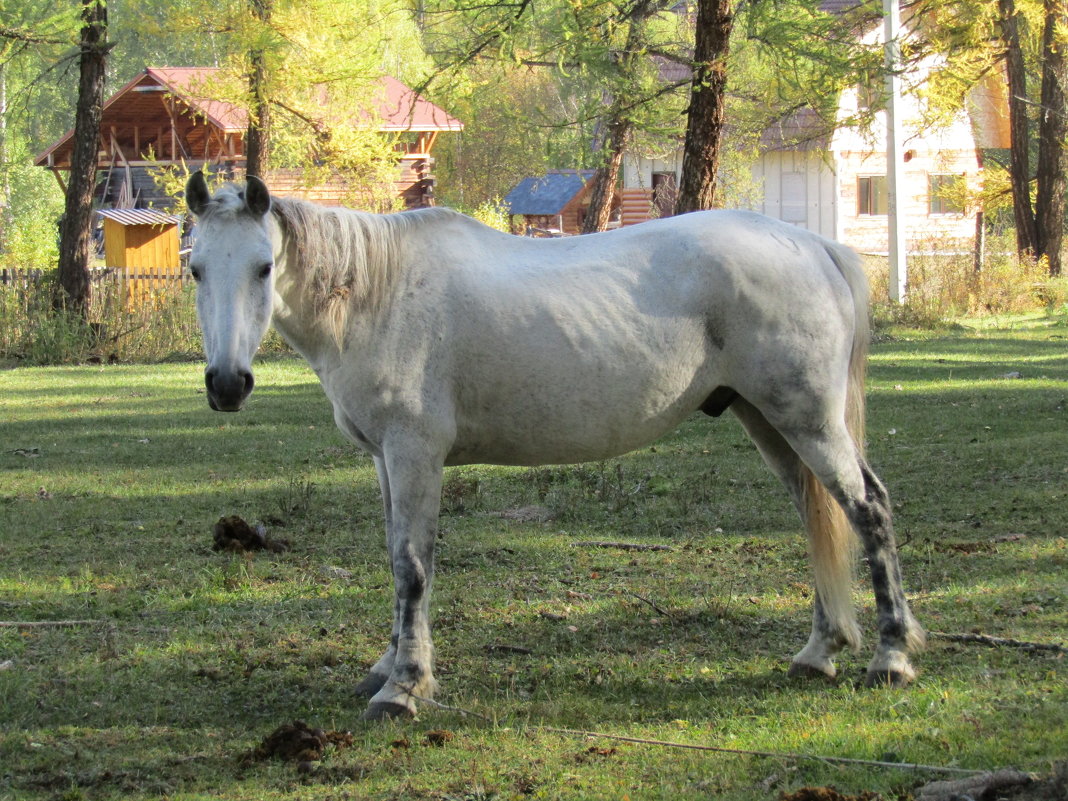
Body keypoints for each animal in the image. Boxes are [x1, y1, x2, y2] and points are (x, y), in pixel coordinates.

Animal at [185, 170, 927, 721]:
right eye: (195, 269)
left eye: (263, 267)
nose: (226, 383)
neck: (379, 294)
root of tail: (813, 246)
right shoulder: (385, 461)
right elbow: (395, 556)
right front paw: (388, 665)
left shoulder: (414, 454)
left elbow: (411, 566)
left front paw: (405, 687)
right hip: (769, 420)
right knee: (817, 513)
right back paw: (819, 651)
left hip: (808, 420)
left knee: (868, 510)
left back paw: (890, 657)